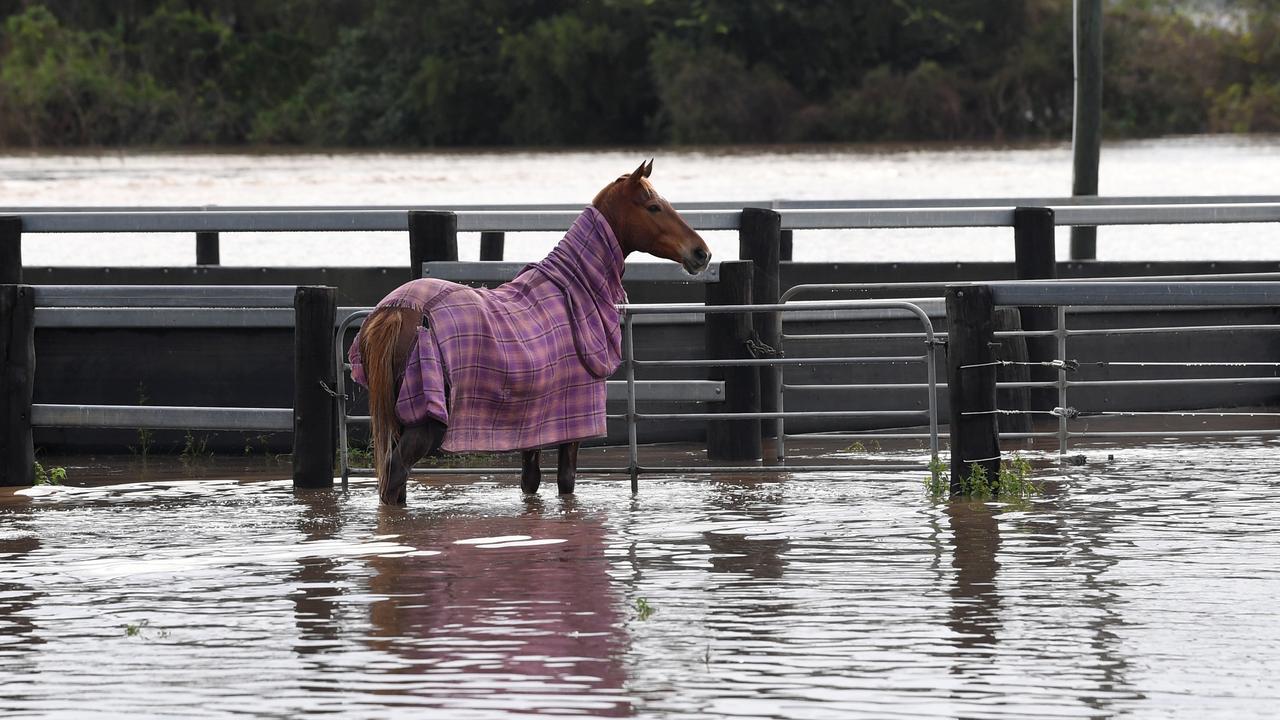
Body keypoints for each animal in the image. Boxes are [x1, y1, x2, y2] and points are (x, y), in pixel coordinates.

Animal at [350, 160, 711, 504]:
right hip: (424, 425)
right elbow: (566, 481)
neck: (574, 291)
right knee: (394, 475)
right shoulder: (571, 428)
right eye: (653, 207)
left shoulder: (533, 429)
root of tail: (396, 310)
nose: (701, 252)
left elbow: (530, 483)